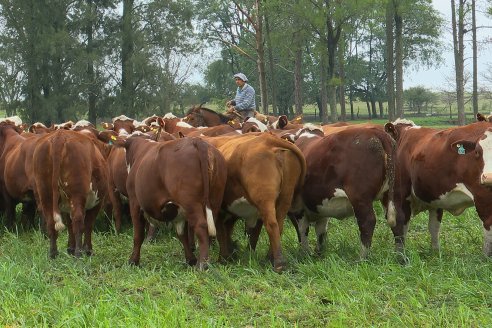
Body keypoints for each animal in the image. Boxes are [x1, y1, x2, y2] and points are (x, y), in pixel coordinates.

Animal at [32, 129, 109, 258]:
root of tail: (59, 136)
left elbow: (69, 224)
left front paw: (70, 248)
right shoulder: (97, 202)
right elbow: (88, 225)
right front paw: (88, 250)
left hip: (45, 194)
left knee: (51, 223)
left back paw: (53, 254)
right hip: (77, 194)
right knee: (78, 222)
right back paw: (78, 254)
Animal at [118, 135, 228, 268]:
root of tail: (197, 141)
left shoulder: (135, 203)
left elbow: (138, 235)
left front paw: (133, 261)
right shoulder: (178, 211)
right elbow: (181, 234)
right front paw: (190, 259)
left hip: (191, 203)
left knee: (201, 226)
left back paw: (202, 264)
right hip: (214, 199)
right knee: (215, 226)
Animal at [384, 119, 492, 258]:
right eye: (477, 152)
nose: (488, 177)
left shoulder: (400, 193)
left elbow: (400, 225)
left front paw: (400, 256)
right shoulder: (434, 198)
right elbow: (433, 226)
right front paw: (435, 253)